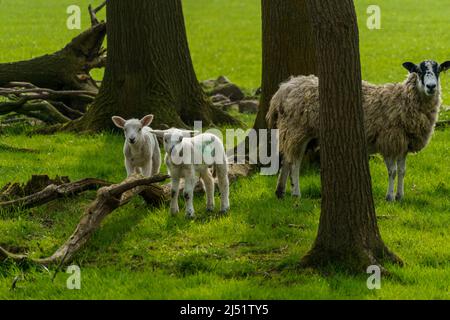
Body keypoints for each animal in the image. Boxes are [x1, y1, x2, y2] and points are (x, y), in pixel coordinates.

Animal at [268, 59, 450, 202]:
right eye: (418, 71)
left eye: (438, 70)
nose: (431, 86)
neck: (403, 100)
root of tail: (283, 89)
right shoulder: (388, 141)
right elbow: (392, 172)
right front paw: (390, 197)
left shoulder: (403, 144)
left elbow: (402, 171)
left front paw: (400, 196)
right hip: (297, 130)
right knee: (295, 163)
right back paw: (296, 193)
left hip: (295, 132)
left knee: (287, 160)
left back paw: (280, 192)